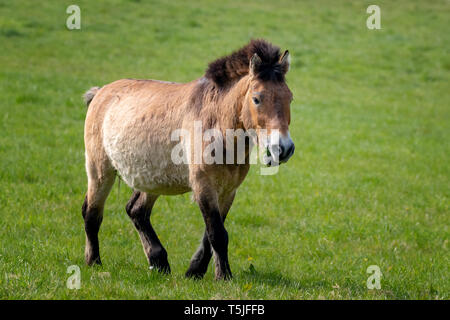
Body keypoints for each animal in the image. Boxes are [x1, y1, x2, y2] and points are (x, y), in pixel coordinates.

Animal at [82, 39, 296, 280]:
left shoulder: (227, 191)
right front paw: (224, 276)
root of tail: (100, 93)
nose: (284, 148)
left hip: (151, 180)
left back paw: (159, 262)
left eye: (290, 97)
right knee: (92, 213)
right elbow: (217, 234)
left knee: (136, 210)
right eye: (257, 99)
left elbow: (210, 236)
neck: (216, 123)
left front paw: (195, 272)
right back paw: (94, 262)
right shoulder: (203, 186)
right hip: (100, 171)